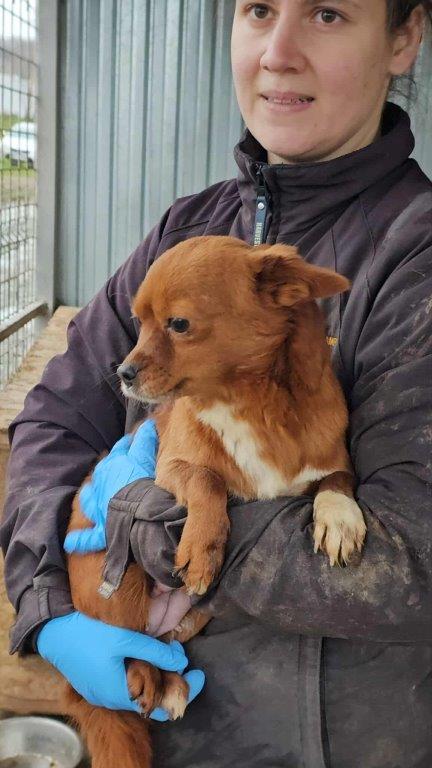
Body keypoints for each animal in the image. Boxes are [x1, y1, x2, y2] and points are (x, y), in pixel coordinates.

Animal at [65, 235, 366, 768]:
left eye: (179, 324)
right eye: (137, 321)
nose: (122, 372)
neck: (249, 403)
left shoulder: (332, 460)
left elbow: (336, 481)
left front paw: (340, 519)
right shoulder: (170, 467)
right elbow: (207, 479)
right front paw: (202, 550)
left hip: (191, 618)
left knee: (160, 641)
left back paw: (169, 680)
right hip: (117, 577)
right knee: (126, 648)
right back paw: (144, 678)